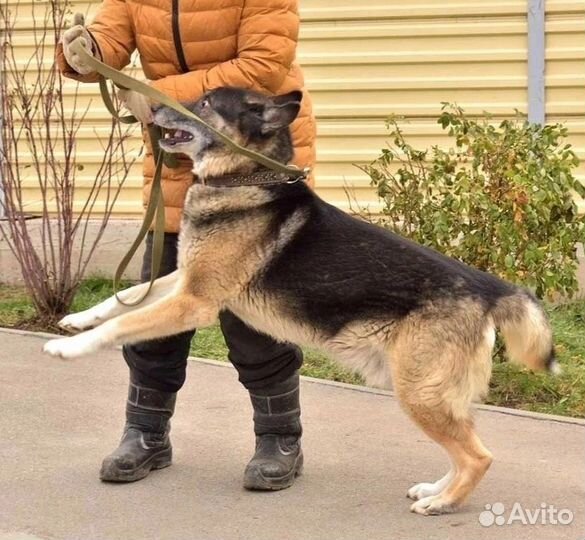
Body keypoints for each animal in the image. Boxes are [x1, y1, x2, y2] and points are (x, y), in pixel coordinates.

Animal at [44, 86, 556, 516]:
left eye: (205, 102)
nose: (149, 105)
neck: (245, 179)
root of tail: (489, 287)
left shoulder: (194, 301)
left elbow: (122, 324)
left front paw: (69, 348)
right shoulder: (185, 281)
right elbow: (126, 297)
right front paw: (77, 319)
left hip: (419, 393)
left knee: (479, 455)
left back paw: (443, 502)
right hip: (428, 392)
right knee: (464, 447)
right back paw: (436, 488)